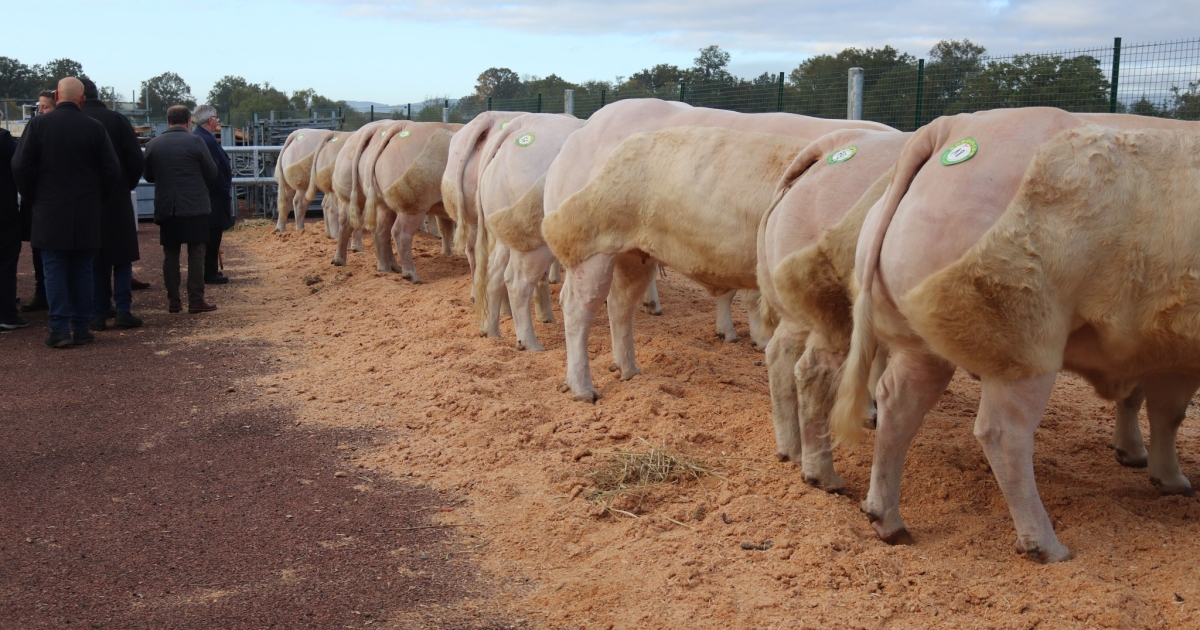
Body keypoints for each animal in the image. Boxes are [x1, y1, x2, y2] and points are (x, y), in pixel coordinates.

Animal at [470, 111, 583, 348]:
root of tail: (523, 123)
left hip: (505, 230)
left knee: (494, 272)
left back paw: (491, 332)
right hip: (532, 239)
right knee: (517, 281)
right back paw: (529, 343)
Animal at [830, 105, 1200, 561]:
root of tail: (954, 125)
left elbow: (1161, 411)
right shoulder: (1177, 352)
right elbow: (1169, 414)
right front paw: (1171, 478)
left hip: (927, 338)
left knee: (898, 402)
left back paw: (888, 519)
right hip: (1022, 340)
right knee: (1004, 432)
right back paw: (1045, 544)